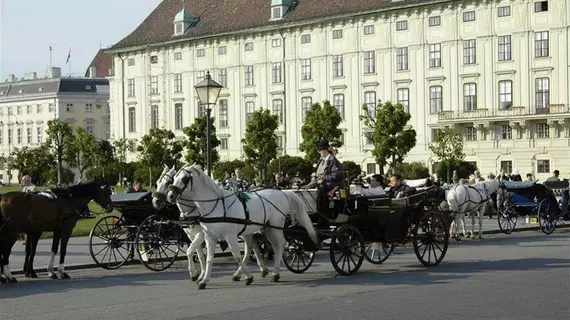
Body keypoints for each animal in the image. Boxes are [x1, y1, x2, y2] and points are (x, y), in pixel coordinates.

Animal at [164, 164, 318, 288]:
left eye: (184, 179)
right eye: (174, 178)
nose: (170, 196)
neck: (216, 206)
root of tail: (282, 192)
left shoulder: (229, 236)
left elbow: (236, 256)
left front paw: (249, 277)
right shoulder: (209, 237)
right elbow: (208, 258)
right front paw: (204, 280)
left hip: (276, 226)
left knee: (280, 245)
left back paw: (275, 273)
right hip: (265, 228)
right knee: (261, 246)